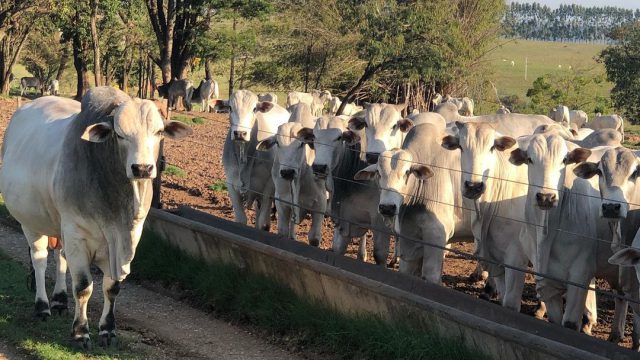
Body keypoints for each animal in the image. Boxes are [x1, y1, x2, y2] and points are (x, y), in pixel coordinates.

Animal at [0, 86, 191, 346]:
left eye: (159, 131)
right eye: (119, 134)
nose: (142, 168)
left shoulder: (123, 242)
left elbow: (112, 287)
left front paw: (107, 329)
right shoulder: (76, 234)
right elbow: (83, 287)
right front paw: (81, 332)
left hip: (60, 227)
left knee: (60, 257)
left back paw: (59, 301)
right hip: (31, 223)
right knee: (39, 260)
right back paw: (43, 307)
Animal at [221, 90, 288, 231]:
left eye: (254, 109)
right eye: (230, 108)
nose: (240, 133)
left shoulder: (268, 188)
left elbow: (263, 224)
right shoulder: (231, 184)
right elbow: (241, 219)